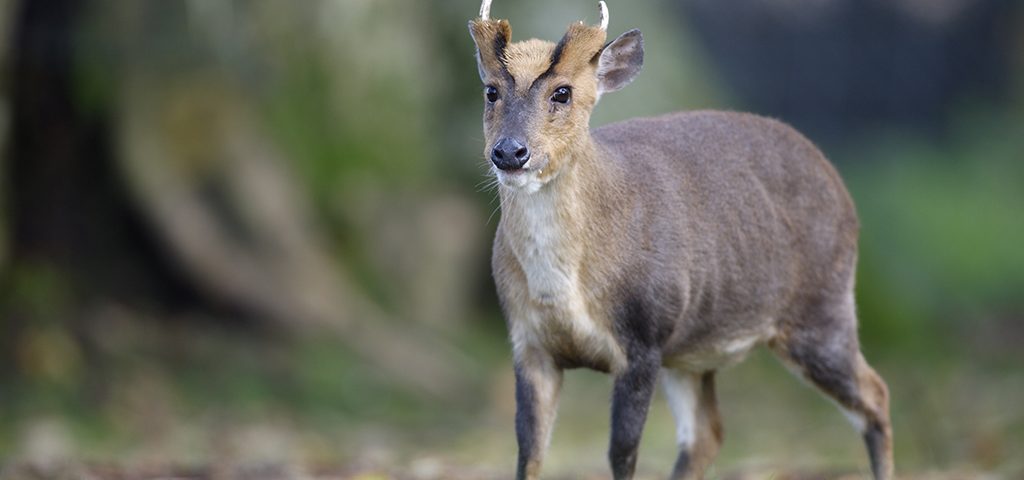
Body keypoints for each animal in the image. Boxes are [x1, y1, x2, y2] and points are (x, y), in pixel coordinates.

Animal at [468, 1, 892, 476]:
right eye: (491, 91)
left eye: (563, 92)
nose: (509, 151)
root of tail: (840, 187)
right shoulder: (528, 341)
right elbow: (530, 450)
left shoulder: (645, 336)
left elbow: (622, 451)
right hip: (691, 351)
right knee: (707, 433)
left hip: (821, 310)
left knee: (876, 394)